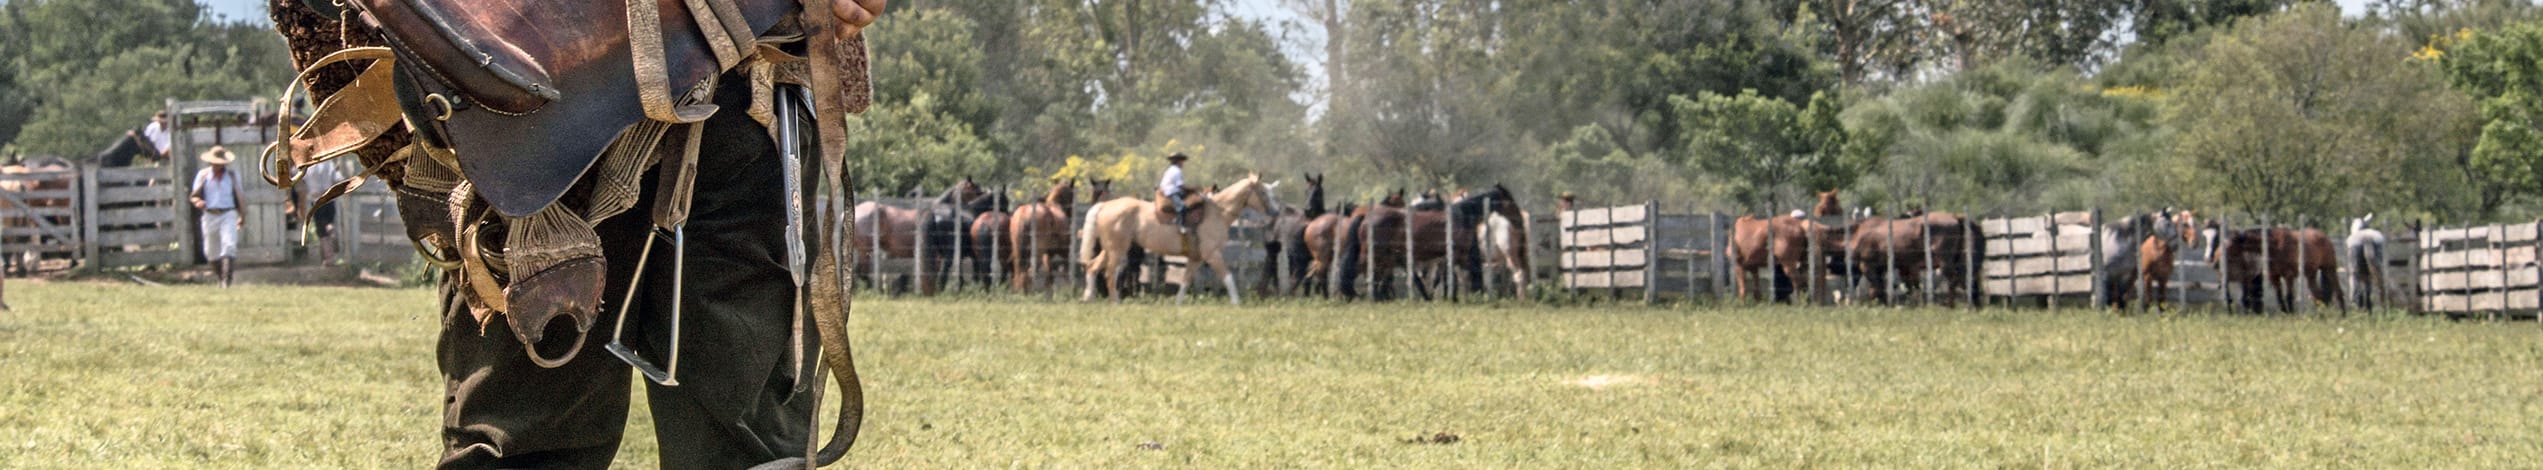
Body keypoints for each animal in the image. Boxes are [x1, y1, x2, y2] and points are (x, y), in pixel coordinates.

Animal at [1078, 174, 1281, 302]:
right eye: (1263, 193)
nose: (1276, 211)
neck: (1217, 212)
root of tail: (1104, 206)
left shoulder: (1196, 258)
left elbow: (1185, 282)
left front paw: (1178, 304)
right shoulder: (1212, 254)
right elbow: (1228, 277)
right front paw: (1237, 302)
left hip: (1109, 249)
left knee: (1092, 267)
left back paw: (1088, 297)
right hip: (1117, 250)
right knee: (1110, 274)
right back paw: (1115, 302)